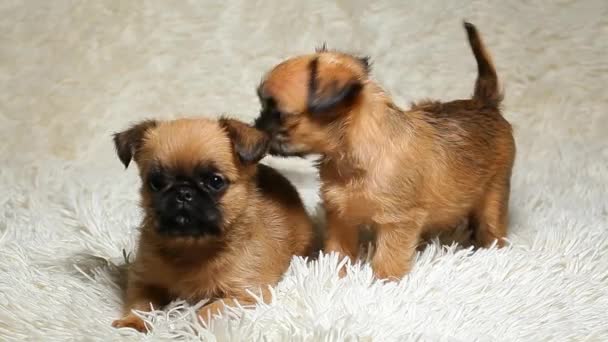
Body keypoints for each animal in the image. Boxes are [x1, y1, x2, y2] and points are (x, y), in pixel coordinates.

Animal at [109, 117, 314, 332]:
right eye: (156, 183)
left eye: (215, 181)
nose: (183, 192)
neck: (191, 248)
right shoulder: (144, 281)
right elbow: (140, 304)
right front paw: (132, 323)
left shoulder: (245, 295)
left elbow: (209, 309)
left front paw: (189, 329)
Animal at [254, 22, 516, 280]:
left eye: (278, 114)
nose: (256, 126)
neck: (352, 156)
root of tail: (484, 103)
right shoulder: (340, 215)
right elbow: (339, 249)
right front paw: (335, 273)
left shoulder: (398, 222)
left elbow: (388, 258)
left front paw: (383, 282)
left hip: (495, 191)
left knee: (492, 224)